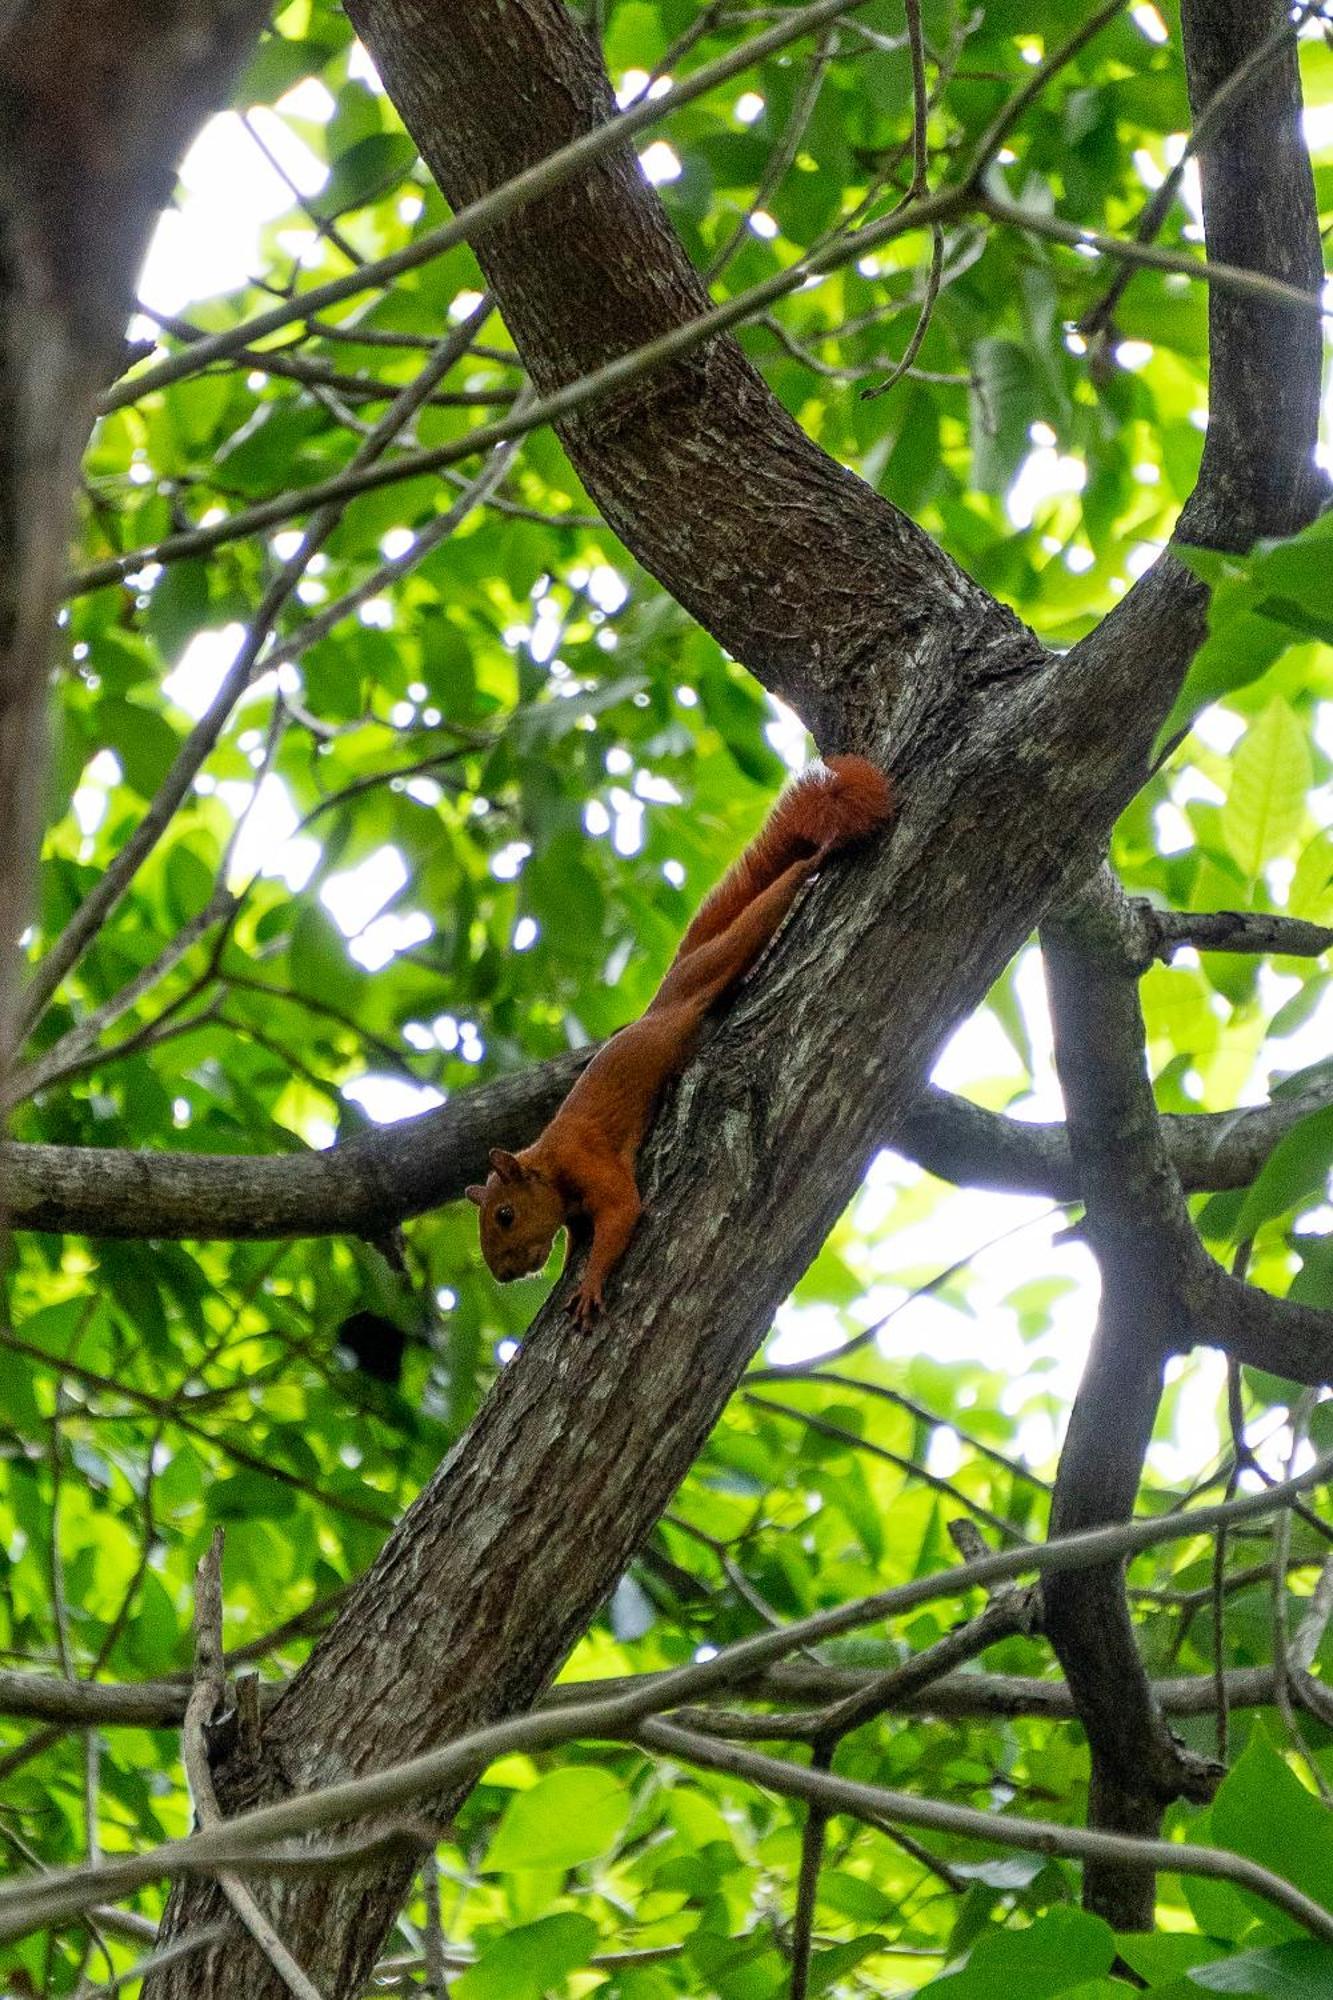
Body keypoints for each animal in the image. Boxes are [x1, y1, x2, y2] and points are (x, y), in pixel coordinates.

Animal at [462, 752, 888, 1328]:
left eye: (504, 1214)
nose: (506, 1274)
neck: (548, 1161)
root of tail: (662, 999)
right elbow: (578, 1238)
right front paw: (573, 1264)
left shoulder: (587, 1158)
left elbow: (623, 1212)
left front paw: (590, 1285)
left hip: (708, 971)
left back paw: (811, 863)